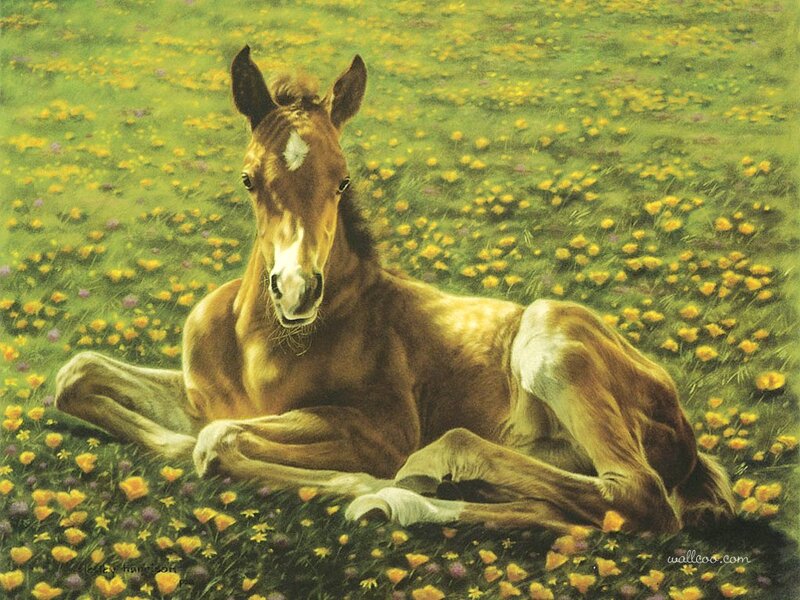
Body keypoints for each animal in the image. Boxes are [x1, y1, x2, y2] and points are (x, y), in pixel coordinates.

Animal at [55, 46, 735, 533]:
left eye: (342, 179)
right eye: (248, 179)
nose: (296, 292)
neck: (261, 344)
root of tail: (682, 424)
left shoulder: (380, 430)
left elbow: (218, 439)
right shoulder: (205, 397)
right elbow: (79, 375)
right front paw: (169, 441)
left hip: (554, 341)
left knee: (637, 497)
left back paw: (413, 478)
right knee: (569, 512)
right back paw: (400, 500)